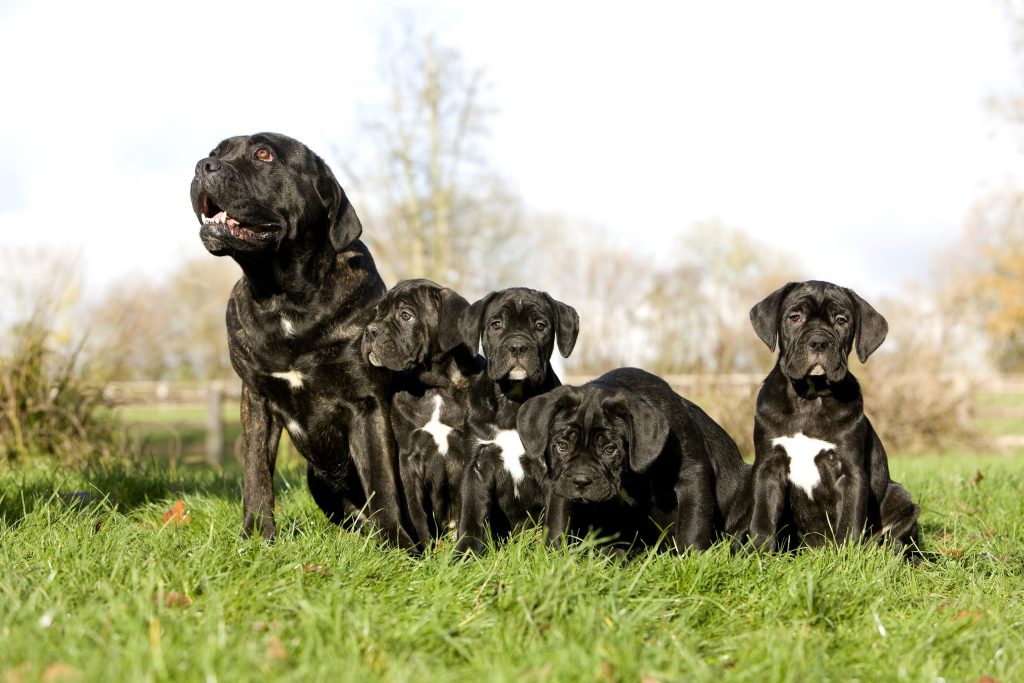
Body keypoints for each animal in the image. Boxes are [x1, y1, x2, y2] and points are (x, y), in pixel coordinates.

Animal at [190, 133, 413, 548]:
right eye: (215, 153)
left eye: (263, 154)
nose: (202, 166)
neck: (285, 298)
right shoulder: (256, 399)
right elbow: (256, 475)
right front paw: (256, 536)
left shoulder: (368, 403)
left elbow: (382, 481)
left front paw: (396, 545)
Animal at [362, 274, 485, 548]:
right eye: (377, 312)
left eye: (406, 315)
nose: (370, 329)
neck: (435, 386)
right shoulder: (409, 457)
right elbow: (415, 508)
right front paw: (423, 547)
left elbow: (466, 505)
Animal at [452, 288, 581, 557]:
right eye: (496, 324)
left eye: (540, 326)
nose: (518, 346)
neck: (513, 401)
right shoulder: (476, 466)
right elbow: (470, 516)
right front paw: (466, 553)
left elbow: (556, 519)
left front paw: (552, 555)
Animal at [520, 368, 753, 557]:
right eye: (562, 446)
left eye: (610, 449)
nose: (581, 480)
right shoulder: (560, 482)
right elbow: (558, 519)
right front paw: (553, 556)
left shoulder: (692, 475)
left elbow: (693, 522)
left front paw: (690, 560)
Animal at [745, 280, 921, 557]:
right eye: (794, 318)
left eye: (841, 321)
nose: (818, 342)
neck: (810, 397)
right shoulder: (768, 467)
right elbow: (762, 517)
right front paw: (757, 554)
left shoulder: (850, 472)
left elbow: (849, 521)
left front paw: (845, 558)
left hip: (899, 496)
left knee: (896, 539)